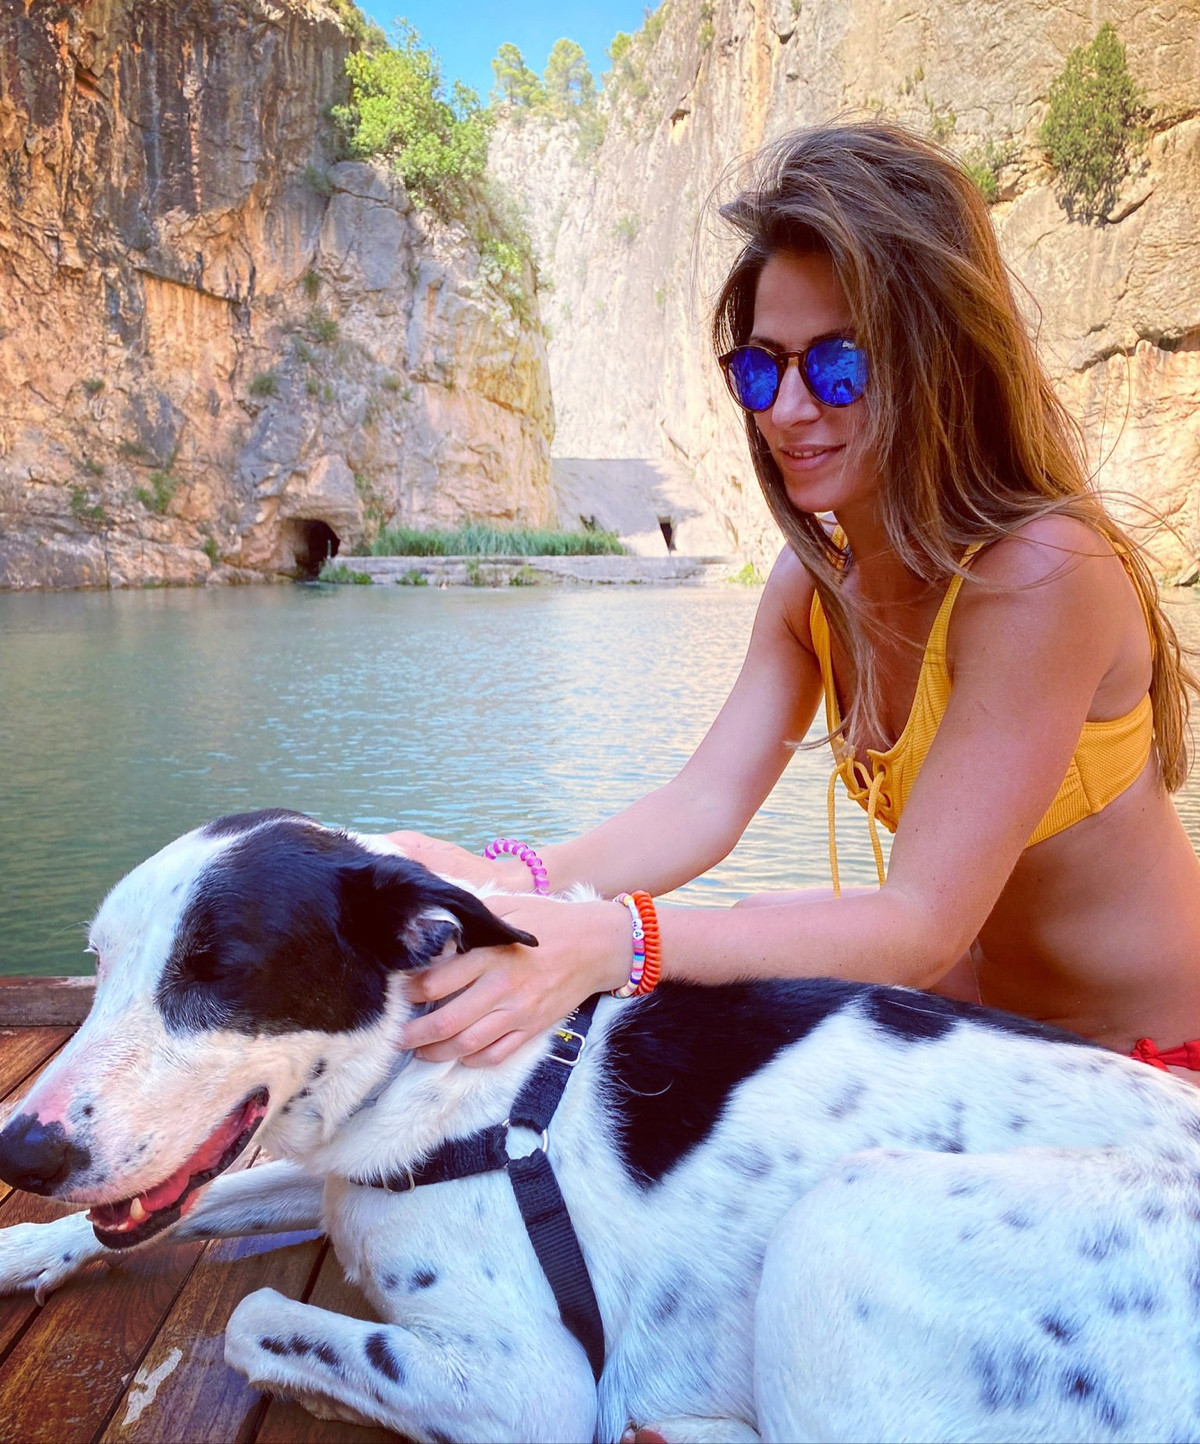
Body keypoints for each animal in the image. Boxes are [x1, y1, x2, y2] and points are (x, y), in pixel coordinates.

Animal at [1, 808, 1200, 1443]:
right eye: (101, 961)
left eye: (219, 970)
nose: (25, 1148)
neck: (457, 1086)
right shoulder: (340, 1175)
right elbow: (214, 1202)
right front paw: (24, 1249)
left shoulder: (533, 1386)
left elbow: (252, 1316)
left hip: (846, 1218)